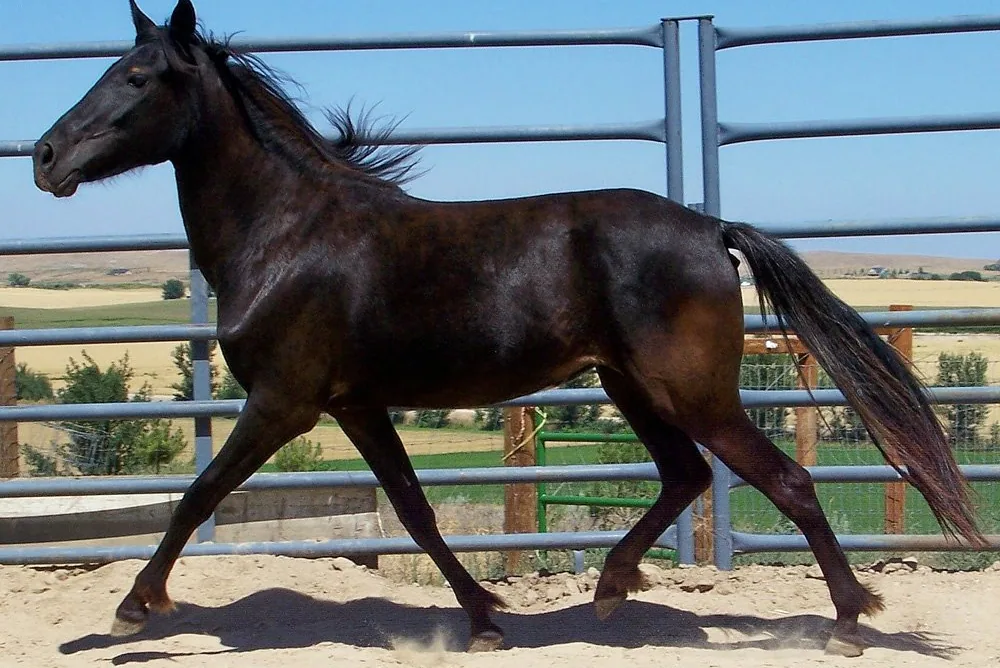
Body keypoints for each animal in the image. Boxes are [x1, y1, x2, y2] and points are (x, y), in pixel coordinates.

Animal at [33, 0, 982, 657]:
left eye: (140, 77)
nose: (45, 158)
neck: (289, 233)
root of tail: (710, 227)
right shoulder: (355, 405)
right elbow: (414, 509)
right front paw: (485, 617)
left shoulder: (284, 401)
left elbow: (200, 494)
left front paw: (131, 609)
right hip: (629, 385)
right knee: (682, 475)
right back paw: (611, 587)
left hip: (690, 391)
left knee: (785, 480)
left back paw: (849, 622)